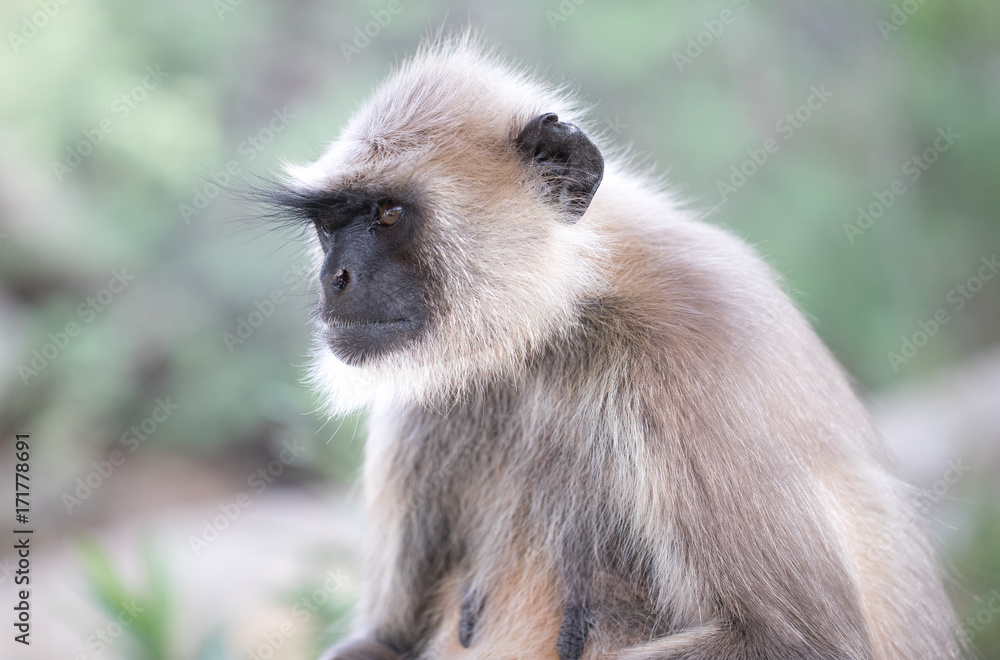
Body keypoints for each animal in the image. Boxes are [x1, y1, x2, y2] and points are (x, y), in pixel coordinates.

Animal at [261, 35, 965, 660]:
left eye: (388, 213)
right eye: (329, 224)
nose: (333, 278)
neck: (560, 325)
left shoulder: (700, 343)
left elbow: (801, 644)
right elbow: (386, 639)